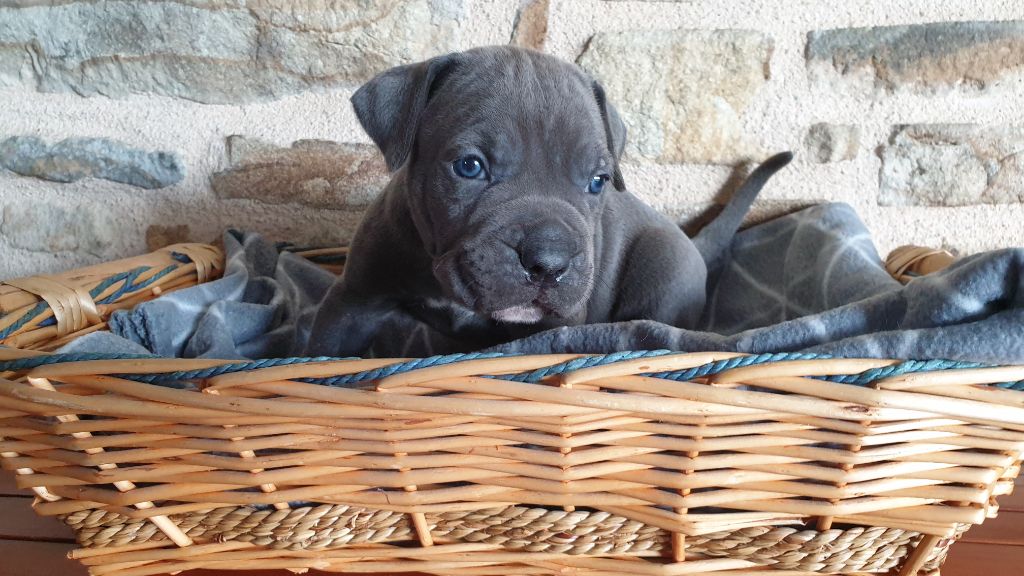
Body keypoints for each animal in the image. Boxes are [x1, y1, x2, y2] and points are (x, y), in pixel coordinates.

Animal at [307, 47, 794, 356]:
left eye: (598, 181)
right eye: (469, 167)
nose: (549, 262)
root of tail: (691, 241)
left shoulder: (552, 328)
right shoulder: (353, 298)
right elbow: (321, 352)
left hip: (664, 270)